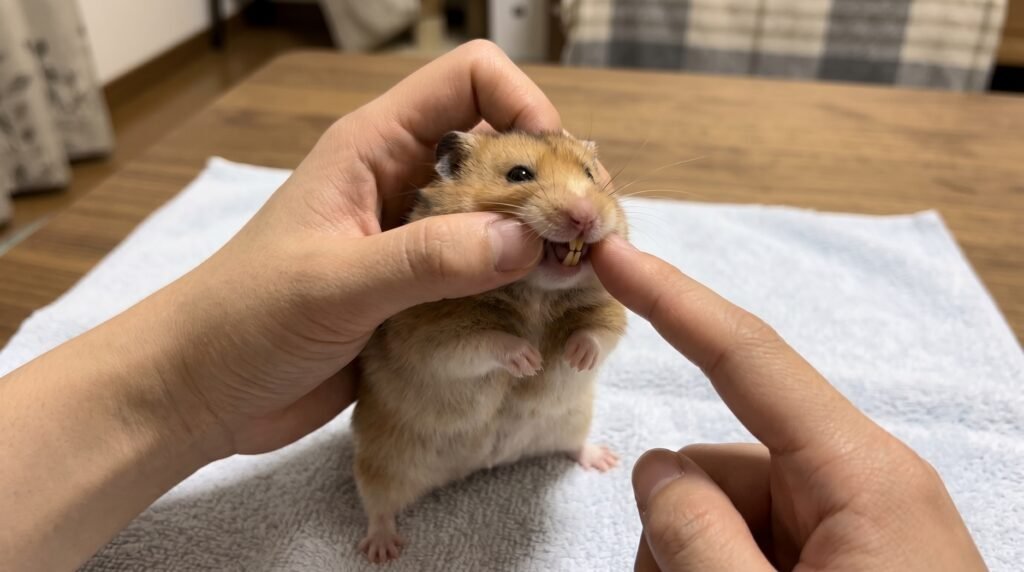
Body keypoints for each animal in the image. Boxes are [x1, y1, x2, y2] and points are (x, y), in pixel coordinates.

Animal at [352, 130, 628, 563]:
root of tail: (483, 464)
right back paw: (382, 551)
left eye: (590, 174)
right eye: (519, 174)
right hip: (382, 462)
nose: (586, 216)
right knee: (378, 505)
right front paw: (530, 360)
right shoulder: (429, 331)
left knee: (574, 447)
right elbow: (483, 342)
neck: (536, 293)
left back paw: (604, 460)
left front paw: (574, 357)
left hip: (573, 420)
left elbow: (596, 333)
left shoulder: (610, 311)